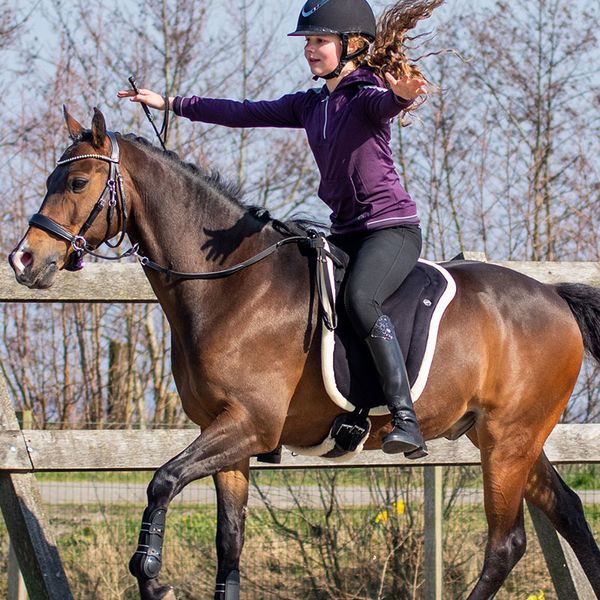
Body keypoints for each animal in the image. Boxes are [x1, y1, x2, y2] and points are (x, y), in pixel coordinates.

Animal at [8, 109, 600, 600]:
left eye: (77, 182)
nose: (23, 260)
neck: (233, 287)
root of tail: (554, 297)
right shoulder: (228, 436)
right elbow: (229, 544)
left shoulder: (251, 425)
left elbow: (163, 481)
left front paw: (152, 576)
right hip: (506, 437)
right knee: (570, 513)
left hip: (508, 440)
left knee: (506, 544)